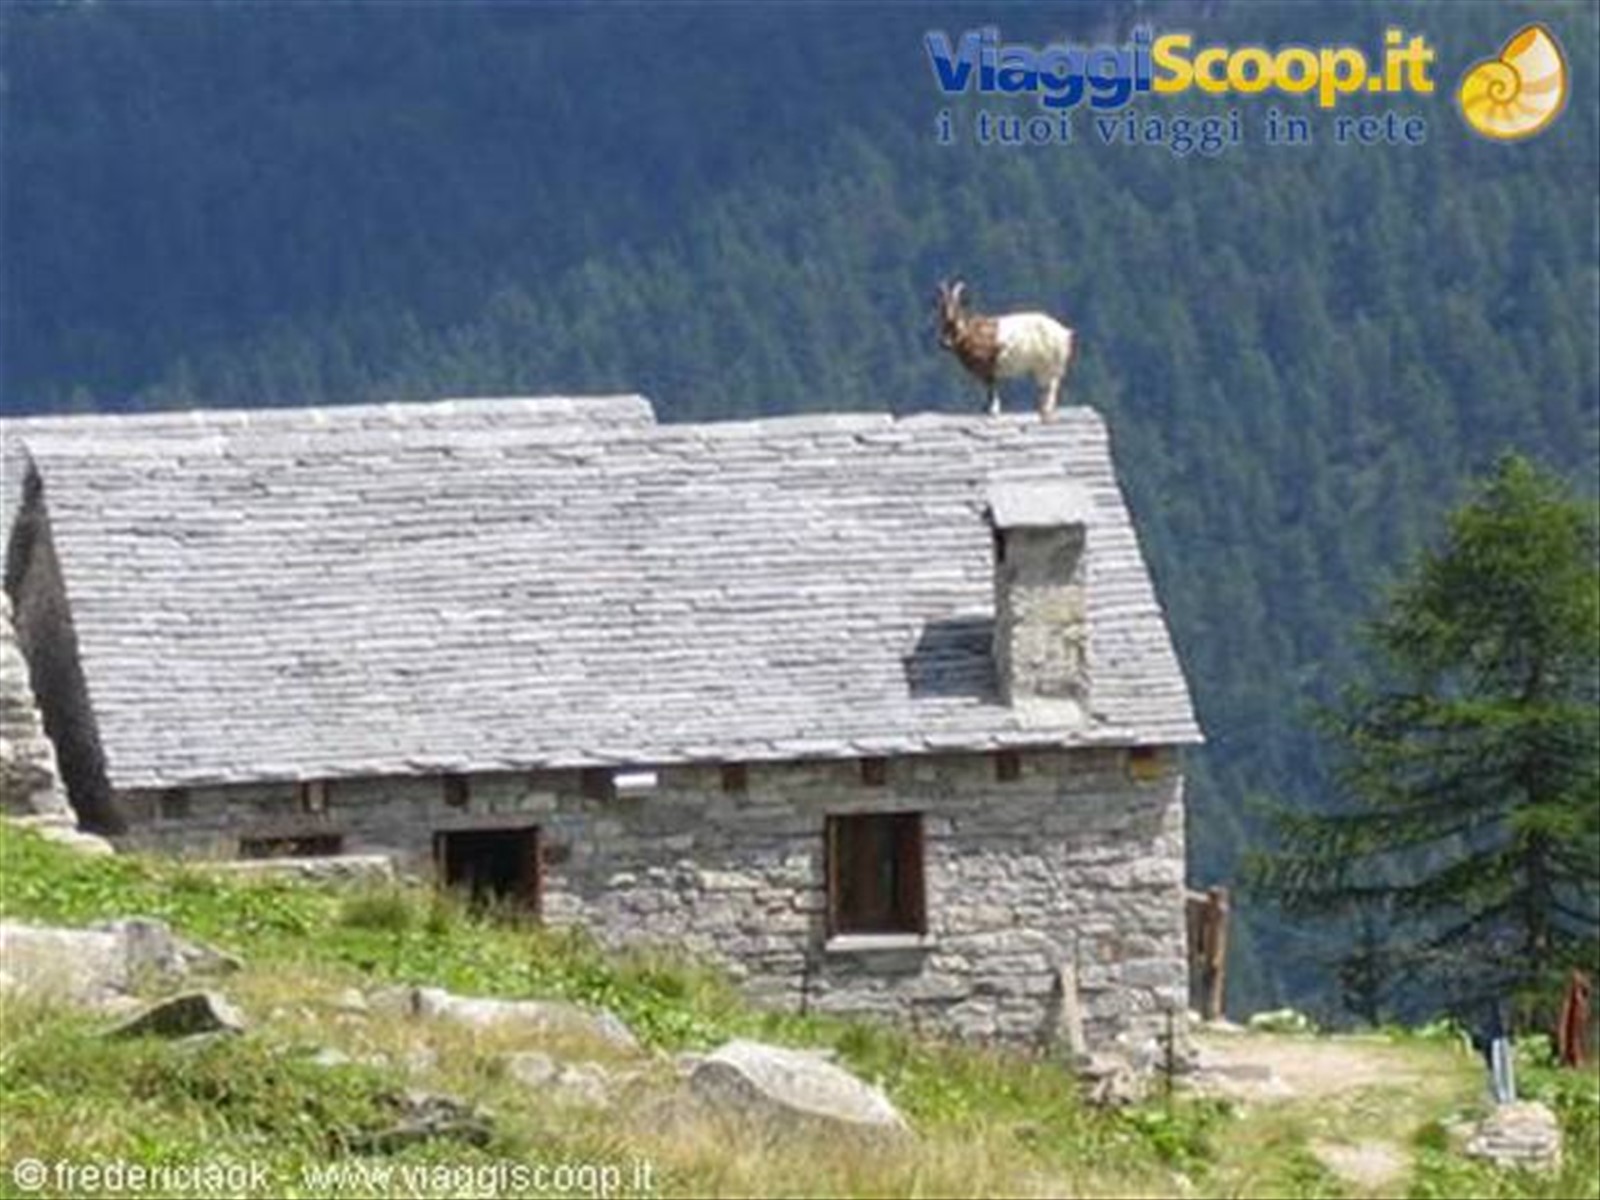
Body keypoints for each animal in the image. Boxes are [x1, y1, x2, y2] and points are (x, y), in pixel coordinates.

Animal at [935, 279, 1075, 419]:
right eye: (942, 309)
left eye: (958, 309)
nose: (944, 343)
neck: (969, 332)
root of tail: (1064, 333)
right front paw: (987, 409)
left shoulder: (988, 366)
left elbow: (991, 388)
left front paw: (992, 410)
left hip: (1047, 364)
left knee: (1050, 386)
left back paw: (1045, 411)